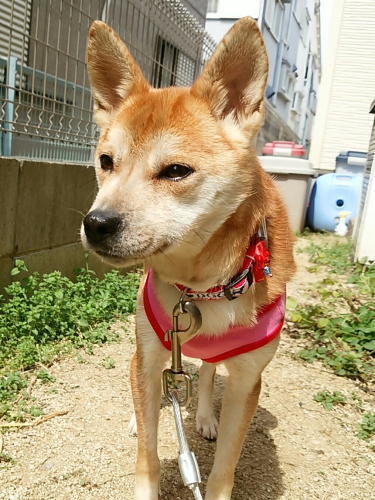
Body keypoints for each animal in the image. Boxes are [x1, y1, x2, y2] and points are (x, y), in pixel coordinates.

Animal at [81, 16, 296, 500]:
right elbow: (147, 449)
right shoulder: (150, 353)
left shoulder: (248, 380)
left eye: (176, 171)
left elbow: (224, 469)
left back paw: (203, 417)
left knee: (209, 372)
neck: (201, 285)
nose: (96, 223)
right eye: (106, 161)